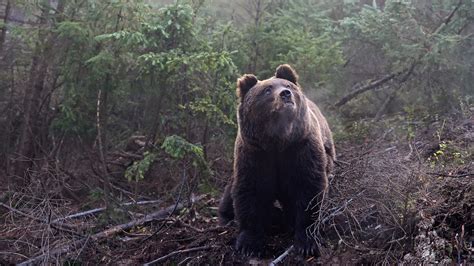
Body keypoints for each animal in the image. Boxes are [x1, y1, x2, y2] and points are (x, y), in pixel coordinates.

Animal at [218, 64, 336, 256]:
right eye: (267, 90)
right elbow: (251, 191)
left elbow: (308, 188)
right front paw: (249, 244)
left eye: (287, 85)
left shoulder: (301, 148)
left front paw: (306, 242)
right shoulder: (255, 154)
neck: (278, 142)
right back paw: (226, 217)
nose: (285, 94)